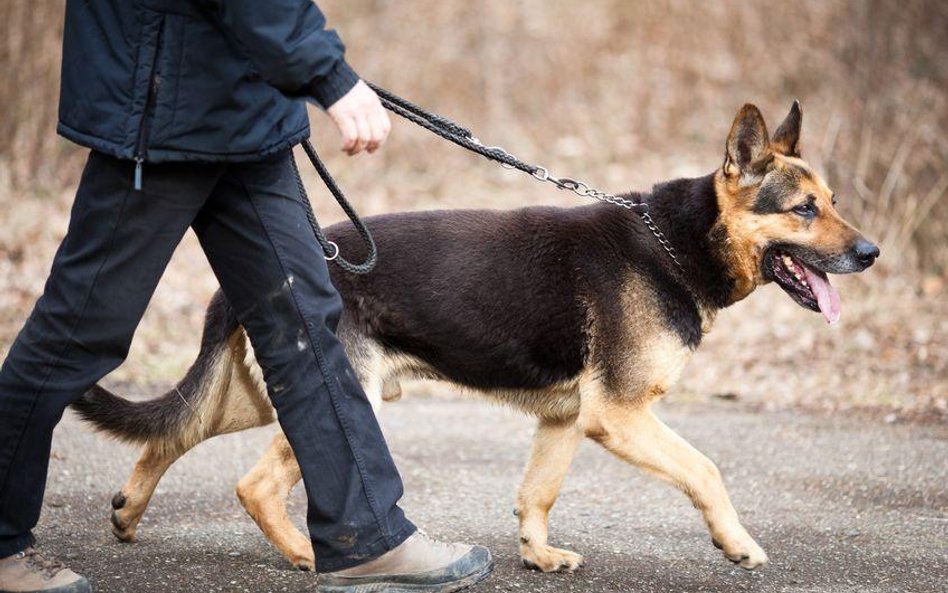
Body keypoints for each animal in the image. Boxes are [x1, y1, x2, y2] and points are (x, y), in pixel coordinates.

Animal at [70, 103, 876, 572]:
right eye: (804, 210)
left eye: (834, 202)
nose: (871, 254)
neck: (676, 242)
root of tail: (272, 277)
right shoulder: (619, 415)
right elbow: (706, 469)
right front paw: (737, 543)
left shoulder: (568, 418)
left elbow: (538, 493)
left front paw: (538, 555)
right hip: (342, 394)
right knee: (253, 482)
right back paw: (308, 555)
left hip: (263, 393)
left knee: (171, 434)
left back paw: (129, 512)